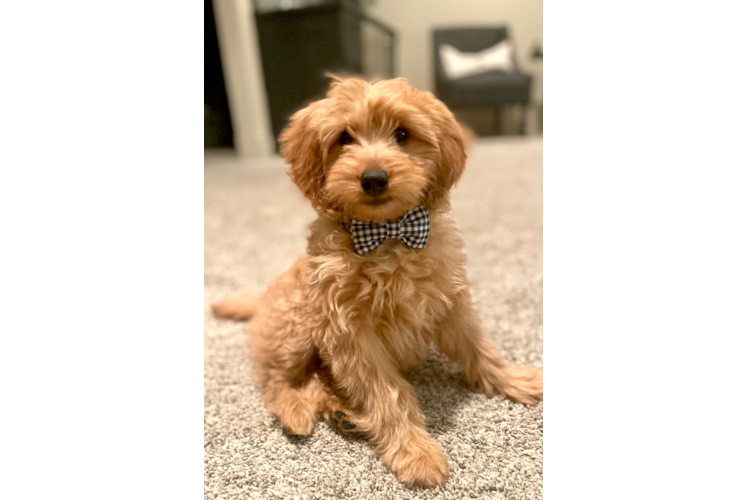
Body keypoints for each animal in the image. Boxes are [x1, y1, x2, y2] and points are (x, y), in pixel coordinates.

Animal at [212, 76, 544, 486]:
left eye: (402, 134)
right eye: (344, 137)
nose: (373, 178)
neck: (387, 234)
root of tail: (261, 299)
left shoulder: (450, 303)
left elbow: (480, 348)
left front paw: (515, 380)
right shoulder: (351, 333)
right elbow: (388, 393)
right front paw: (415, 452)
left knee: (316, 380)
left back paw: (341, 412)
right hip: (295, 326)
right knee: (275, 382)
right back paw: (296, 410)